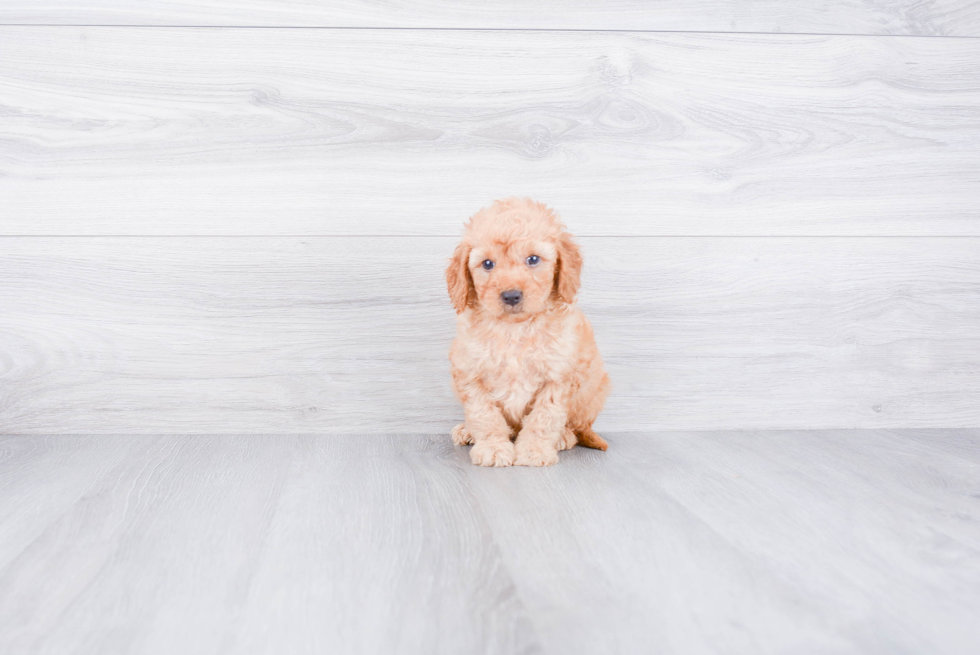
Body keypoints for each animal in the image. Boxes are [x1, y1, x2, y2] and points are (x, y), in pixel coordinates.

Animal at [448, 199, 608, 466]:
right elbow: (484, 414)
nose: (511, 295)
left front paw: (534, 450)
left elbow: (544, 417)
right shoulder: (470, 374)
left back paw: (564, 436)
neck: (515, 329)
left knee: (577, 427)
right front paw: (493, 447)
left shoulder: (558, 376)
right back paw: (467, 430)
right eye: (487, 264)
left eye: (533, 259)